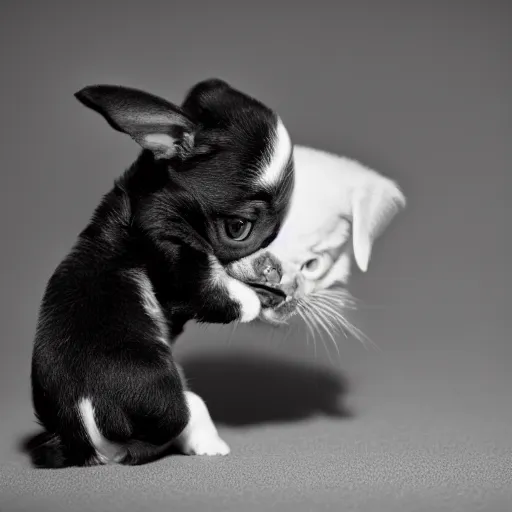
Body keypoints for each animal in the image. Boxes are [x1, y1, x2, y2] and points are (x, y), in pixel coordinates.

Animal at [32, 80, 294, 468]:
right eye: (238, 229)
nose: (273, 266)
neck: (155, 191)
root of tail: (84, 440)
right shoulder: (174, 257)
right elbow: (223, 294)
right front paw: (262, 299)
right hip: (165, 394)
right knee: (184, 411)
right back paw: (207, 444)